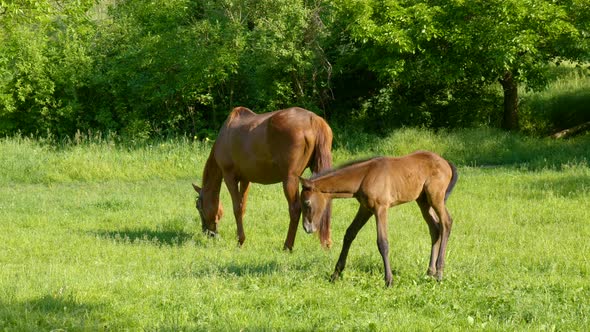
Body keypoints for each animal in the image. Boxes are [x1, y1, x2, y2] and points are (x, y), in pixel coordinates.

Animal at [193, 106, 332, 249]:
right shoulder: (245, 180)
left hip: (289, 179)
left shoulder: (229, 177)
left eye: (198, 206)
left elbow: (236, 208)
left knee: (295, 209)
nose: (207, 233)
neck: (226, 134)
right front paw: (240, 238)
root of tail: (313, 119)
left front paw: (240, 241)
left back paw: (287, 246)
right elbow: (242, 207)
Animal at [300, 151, 458, 288]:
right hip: (423, 201)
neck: (364, 176)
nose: (307, 228)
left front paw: (389, 281)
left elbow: (383, 243)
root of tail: (446, 163)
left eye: (306, 203)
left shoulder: (380, 209)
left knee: (446, 223)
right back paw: (430, 272)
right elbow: (350, 234)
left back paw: (439, 273)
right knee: (435, 228)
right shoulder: (365, 209)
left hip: (435, 198)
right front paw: (335, 275)